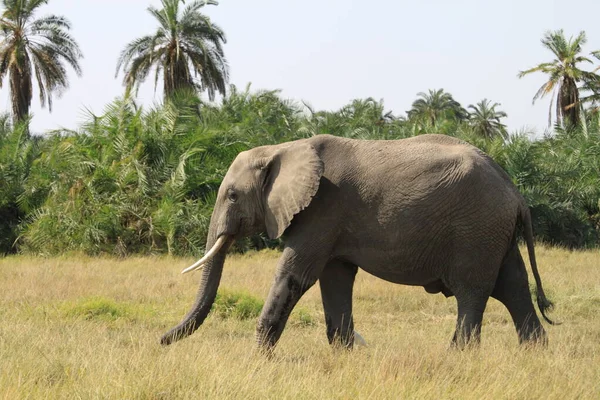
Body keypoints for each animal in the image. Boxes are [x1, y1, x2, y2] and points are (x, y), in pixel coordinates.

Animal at [158, 134, 552, 350]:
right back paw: (534, 354)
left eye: (233, 196)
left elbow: (294, 277)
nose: (159, 340)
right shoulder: (331, 222)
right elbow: (334, 279)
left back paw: (458, 357)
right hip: (493, 232)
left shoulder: (322, 209)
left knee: (473, 292)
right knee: (514, 287)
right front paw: (344, 355)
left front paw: (257, 362)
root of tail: (515, 191)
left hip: (476, 229)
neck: (283, 148)